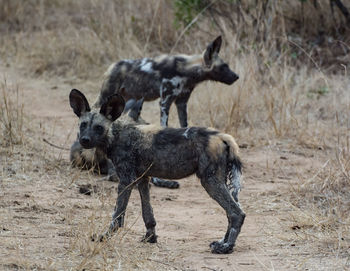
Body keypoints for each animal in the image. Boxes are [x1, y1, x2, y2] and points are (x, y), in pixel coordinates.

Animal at [69, 89, 246, 255]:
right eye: (83, 125)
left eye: (98, 128)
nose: (84, 140)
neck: (117, 133)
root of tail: (224, 137)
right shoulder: (142, 179)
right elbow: (148, 213)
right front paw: (150, 238)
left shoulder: (126, 180)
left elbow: (118, 215)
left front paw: (104, 237)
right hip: (219, 181)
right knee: (231, 212)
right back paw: (222, 241)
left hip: (210, 182)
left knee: (237, 213)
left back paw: (226, 247)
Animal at [94, 35, 239, 128]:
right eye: (224, 66)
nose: (236, 76)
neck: (187, 71)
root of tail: (112, 66)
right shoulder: (165, 102)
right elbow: (164, 126)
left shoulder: (181, 103)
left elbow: (184, 126)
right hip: (106, 97)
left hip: (127, 100)